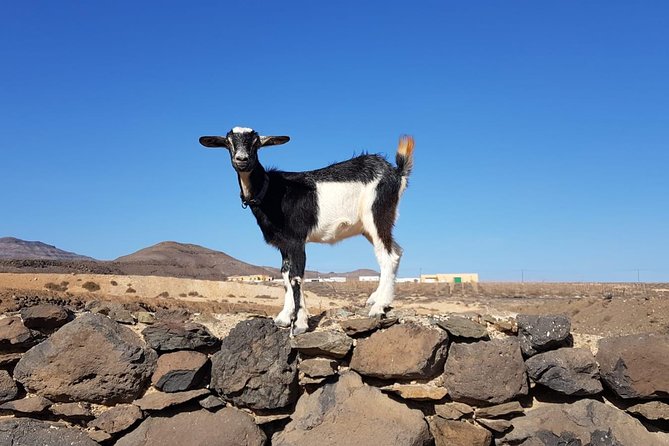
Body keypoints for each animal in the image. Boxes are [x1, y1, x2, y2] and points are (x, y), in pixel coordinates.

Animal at [200, 127, 412, 332]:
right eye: (228, 142)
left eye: (256, 143)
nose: (242, 160)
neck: (270, 191)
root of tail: (396, 172)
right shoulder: (283, 244)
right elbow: (285, 274)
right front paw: (285, 317)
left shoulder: (296, 240)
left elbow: (296, 276)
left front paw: (300, 323)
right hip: (369, 226)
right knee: (397, 251)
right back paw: (377, 299)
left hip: (377, 213)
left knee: (388, 256)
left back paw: (379, 307)